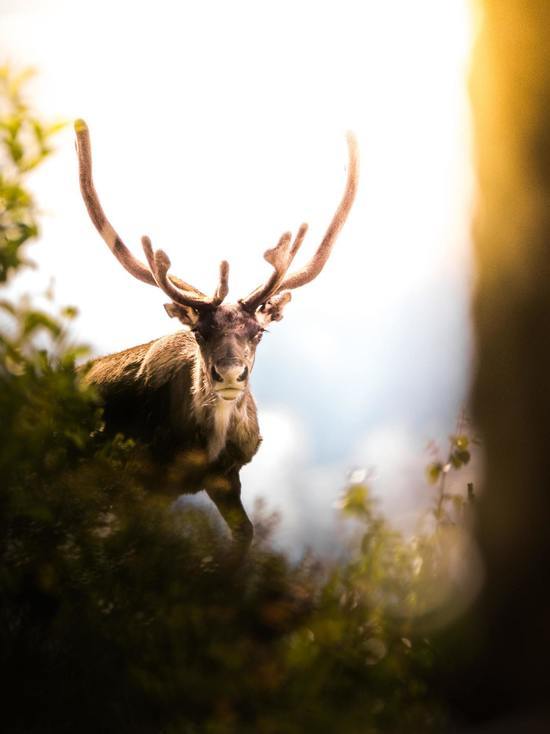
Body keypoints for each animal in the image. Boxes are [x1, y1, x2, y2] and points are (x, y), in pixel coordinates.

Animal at [75, 121, 360, 552]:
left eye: (259, 331)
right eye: (199, 331)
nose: (229, 375)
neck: (203, 447)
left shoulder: (226, 476)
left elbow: (245, 533)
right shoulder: (141, 480)